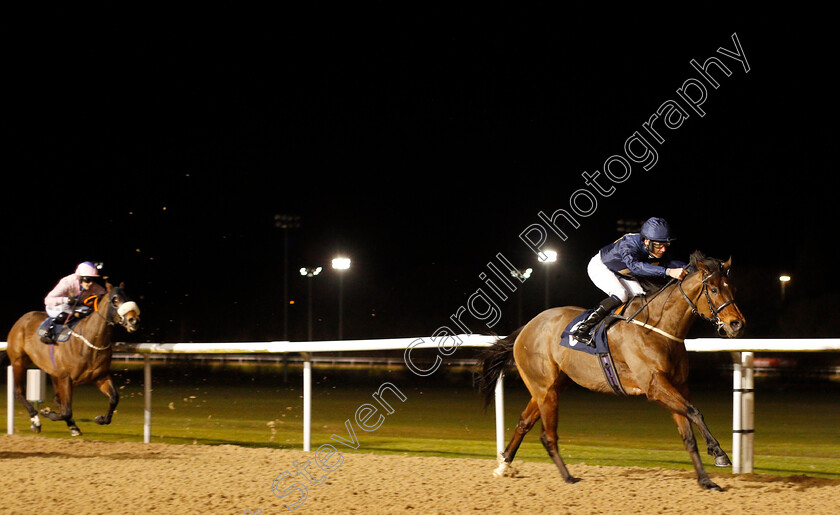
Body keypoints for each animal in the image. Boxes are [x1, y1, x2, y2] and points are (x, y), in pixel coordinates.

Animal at [4, 284, 139, 438]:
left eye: (128, 297)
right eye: (115, 300)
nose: (134, 321)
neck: (90, 342)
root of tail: (23, 319)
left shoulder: (101, 376)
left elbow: (114, 398)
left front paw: (101, 419)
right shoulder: (66, 378)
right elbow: (66, 411)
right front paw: (47, 412)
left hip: (52, 371)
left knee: (57, 399)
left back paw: (72, 426)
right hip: (18, 361)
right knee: (19, 392)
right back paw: (36, 421)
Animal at [480, 254, 748, 492]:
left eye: (732, 287)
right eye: (713, 289)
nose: (737, 324)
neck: (659, 328)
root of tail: (527, 326)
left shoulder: (677, 386)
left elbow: (688, 435)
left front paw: (706, 481)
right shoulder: (655, 387)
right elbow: (695, 412)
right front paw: (719, 453)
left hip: (549, 387)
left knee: (524, 423)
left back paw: (504, 466)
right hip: (546, 390)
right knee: (548, 435)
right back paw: (568, 477)